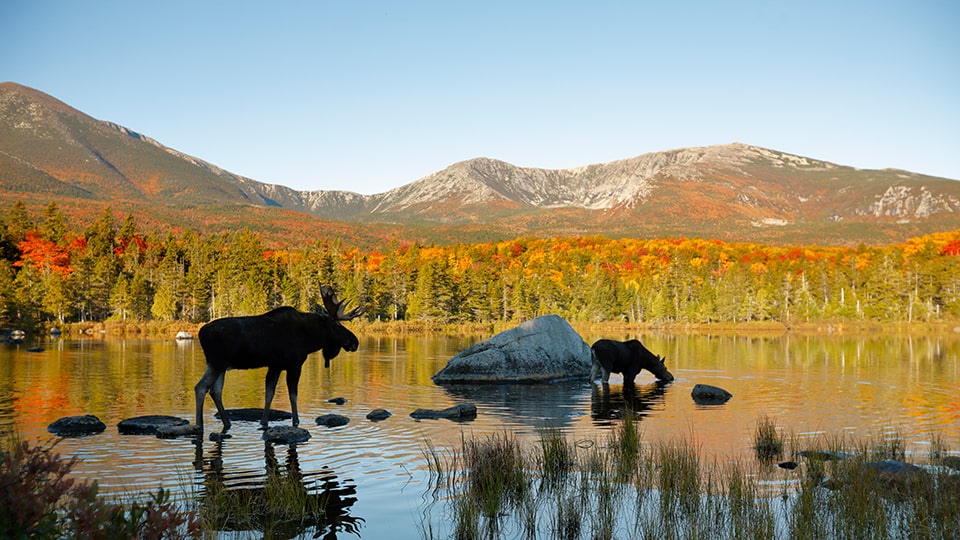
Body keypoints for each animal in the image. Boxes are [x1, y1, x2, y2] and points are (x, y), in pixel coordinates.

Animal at [193, 284, 362, 432]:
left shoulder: (276, 365)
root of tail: (201, 333)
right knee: (201, 388)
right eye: (337, 325)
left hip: (222, 366)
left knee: (215, 391)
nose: (355, 342)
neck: (310, 339)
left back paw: (227, 422)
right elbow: (293, 395)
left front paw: (264, 421)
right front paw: (296, 421)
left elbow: (269, 394)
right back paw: (199, 425)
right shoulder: (294, 364)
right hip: (216, 362)